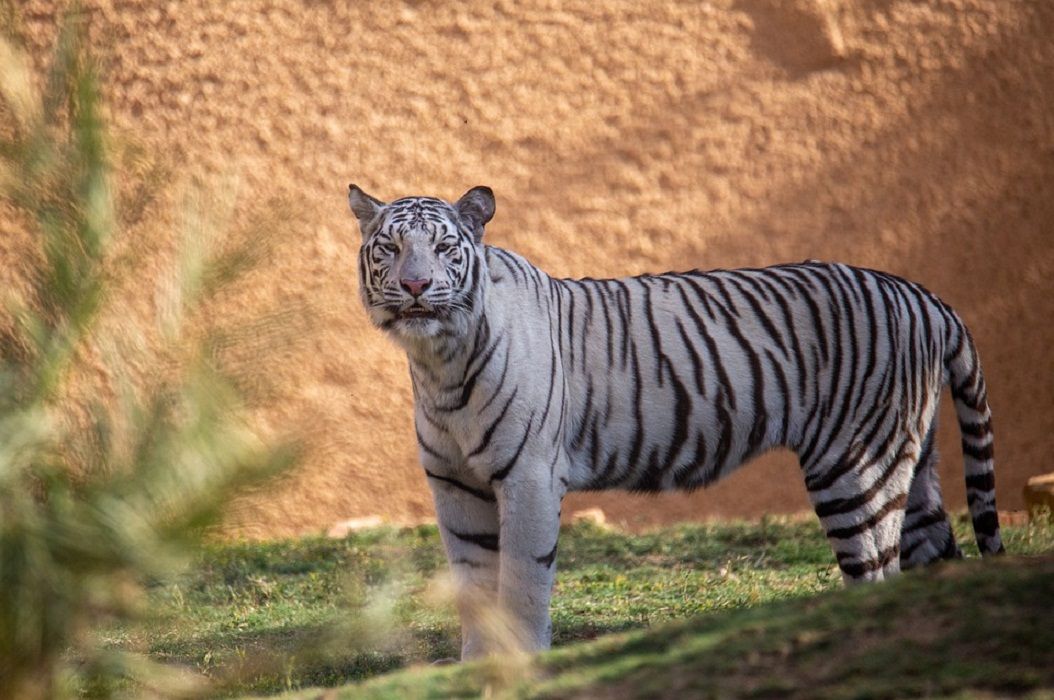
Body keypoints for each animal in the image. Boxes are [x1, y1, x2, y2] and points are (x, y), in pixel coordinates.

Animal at [347, 183, 1003, 657]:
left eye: (443, 248)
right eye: (390, 248)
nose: (415, 285)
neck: (437, 361)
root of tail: (926, 297)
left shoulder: (528, 477)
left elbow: (522, 587)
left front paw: (522, 665)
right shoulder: (454, 485)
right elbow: (474, 589)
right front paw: (474, 670)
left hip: (856, 468)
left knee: (874, 573)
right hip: (908, 466)